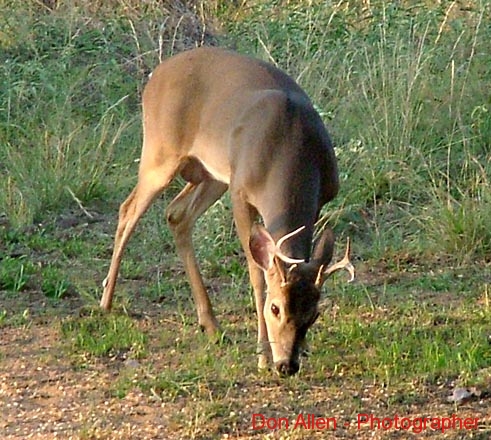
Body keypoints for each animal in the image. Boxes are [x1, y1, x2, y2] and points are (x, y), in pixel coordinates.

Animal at [100, 46, 354, 376]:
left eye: (314, 314)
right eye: (275, 307)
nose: (287, 364)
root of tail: (157, 74)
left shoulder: (320, 199)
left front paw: (303, 349)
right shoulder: (241, 192)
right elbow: (257, 274)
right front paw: (262, 355)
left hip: (211, 175)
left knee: (176, 213)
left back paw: (211, 325)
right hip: (161, 152)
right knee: (128, 210)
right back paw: (106, 302)